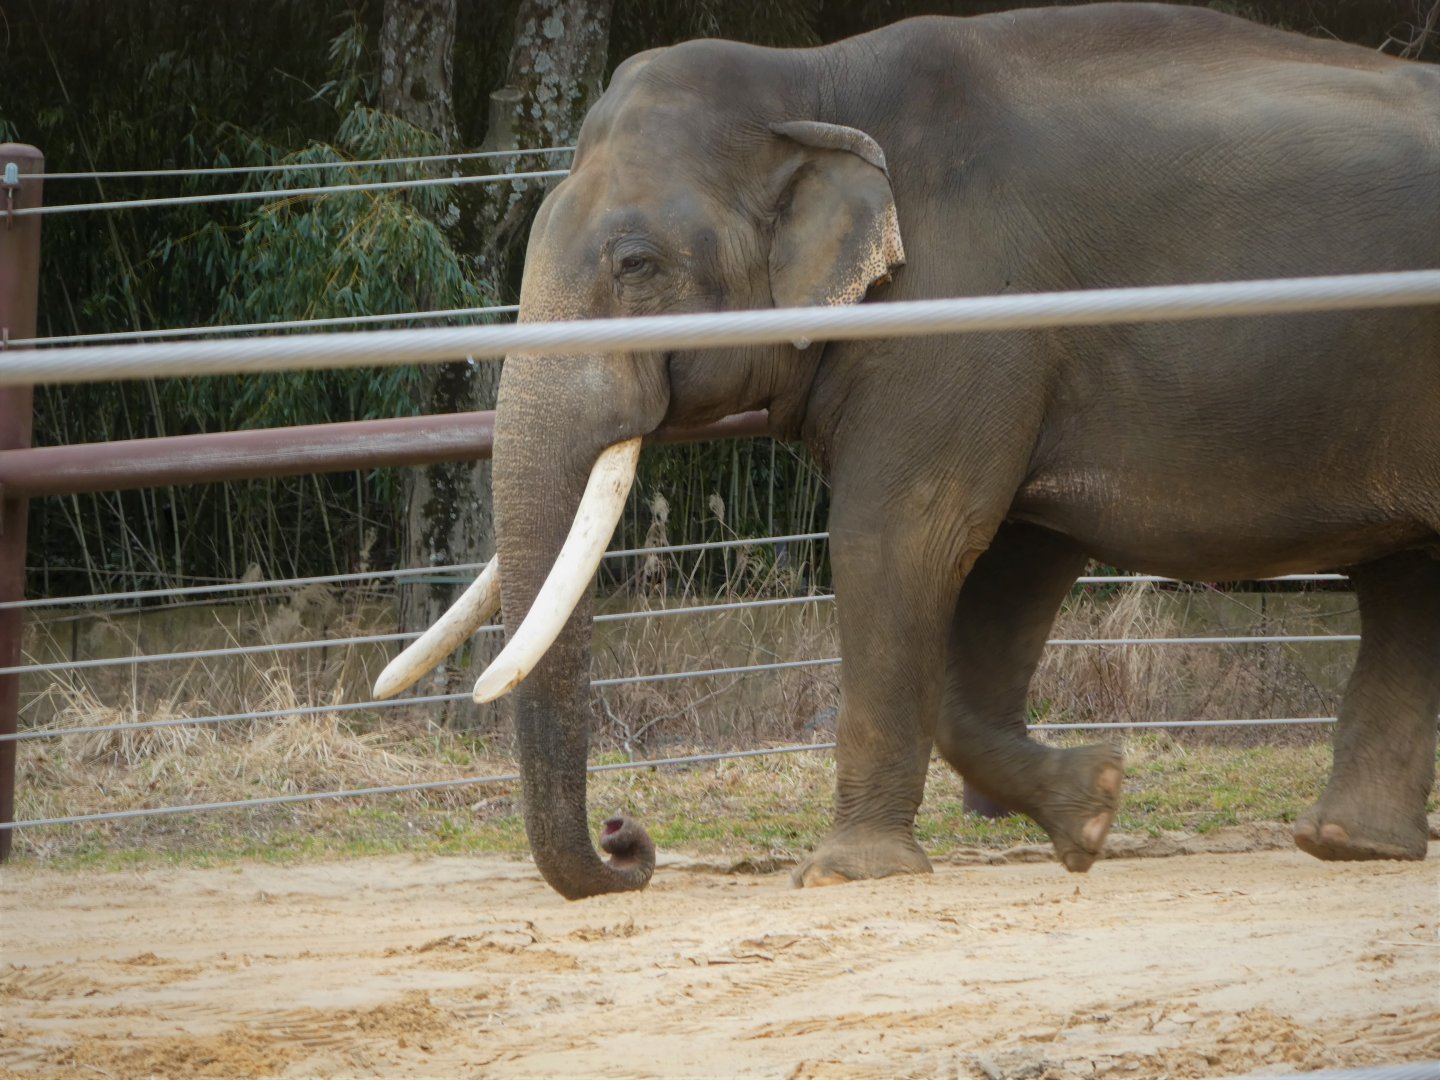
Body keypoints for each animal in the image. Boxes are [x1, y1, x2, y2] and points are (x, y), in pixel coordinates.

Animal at [377, 3, 1440, 899]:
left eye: (636, 266)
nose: (626, 837)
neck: (813, 83)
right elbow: (1009, 561)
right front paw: (1093, 809)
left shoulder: (964, 310)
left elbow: (904, 539)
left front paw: (847, 874)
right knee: (1408, 579)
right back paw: (1349, 844)